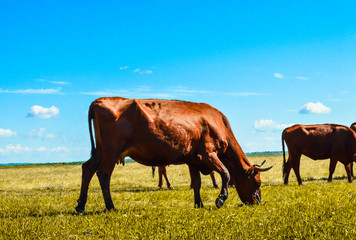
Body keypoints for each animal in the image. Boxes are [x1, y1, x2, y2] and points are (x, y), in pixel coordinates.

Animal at [75, 96, 272, 213]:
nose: (258, 201)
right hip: (111, 152)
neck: (217, 123)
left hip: (100, 151)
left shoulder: (193, 159)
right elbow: (225, 173)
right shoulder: (209, 153)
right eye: (257, 182)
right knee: (103, 174)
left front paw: (198, 204)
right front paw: (221, 199)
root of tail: (99, 101)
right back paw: (110, 207)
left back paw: (81, 205)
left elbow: (197, 183)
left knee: (87, 169)